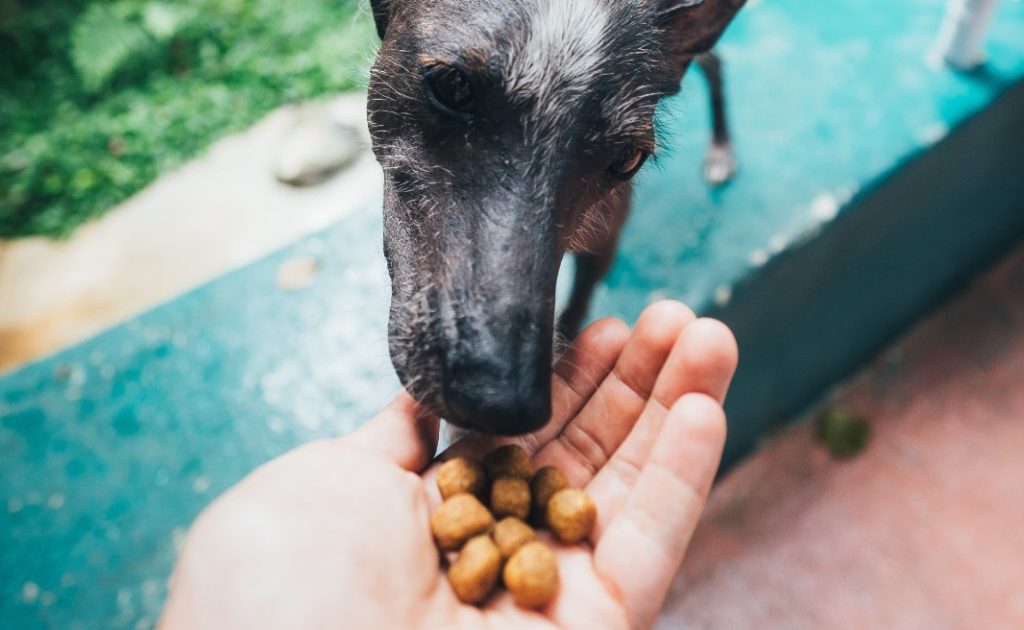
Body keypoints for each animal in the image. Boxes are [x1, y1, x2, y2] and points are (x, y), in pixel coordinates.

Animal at [366, 0, 745, 434]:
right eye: (453, 85)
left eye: (627, 159)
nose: (501, 403)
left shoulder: (605, 240)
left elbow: (576, 308)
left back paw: (721, 147)